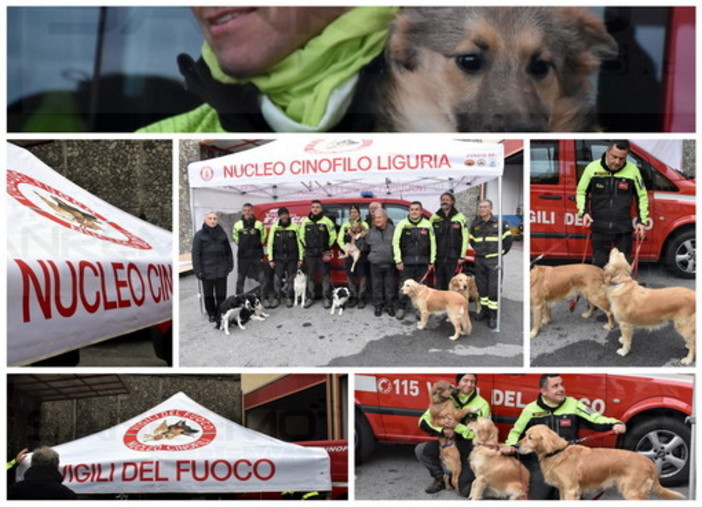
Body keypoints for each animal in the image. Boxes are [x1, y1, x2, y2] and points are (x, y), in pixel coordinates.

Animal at [520, 424, 684, 500]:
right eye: (525, 435)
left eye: (530, 437)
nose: (516, 445)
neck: (557, 452)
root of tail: (647, 460)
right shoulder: (563, 490)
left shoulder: (570, 490)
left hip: (632, 492)